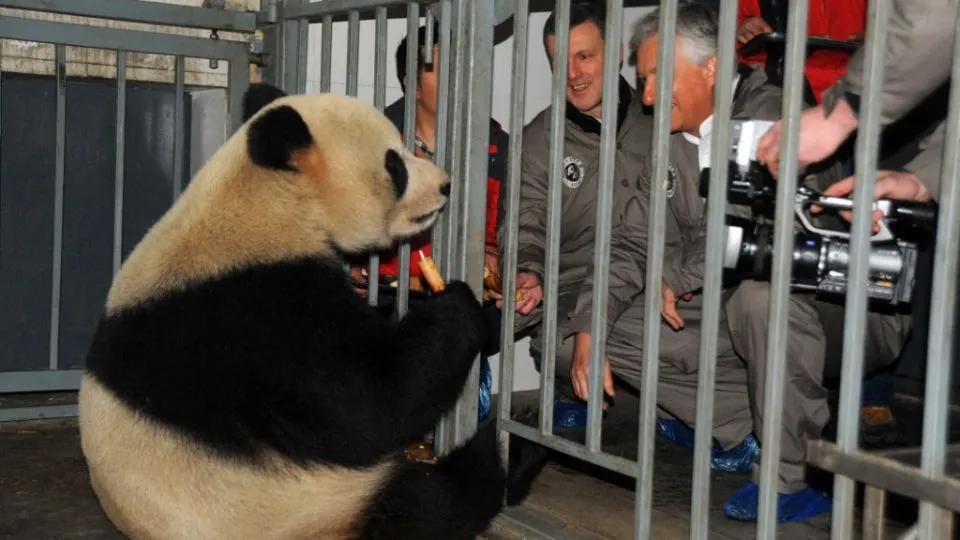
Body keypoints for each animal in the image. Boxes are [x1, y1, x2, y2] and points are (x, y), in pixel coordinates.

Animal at [77, 82, 547, 540]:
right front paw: (461, 305)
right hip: (301, 504)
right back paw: (510, 451)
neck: (268, 201)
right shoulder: (259, 314)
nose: (446, 184)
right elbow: (366, 404)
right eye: (394, 164)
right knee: (428, 501)